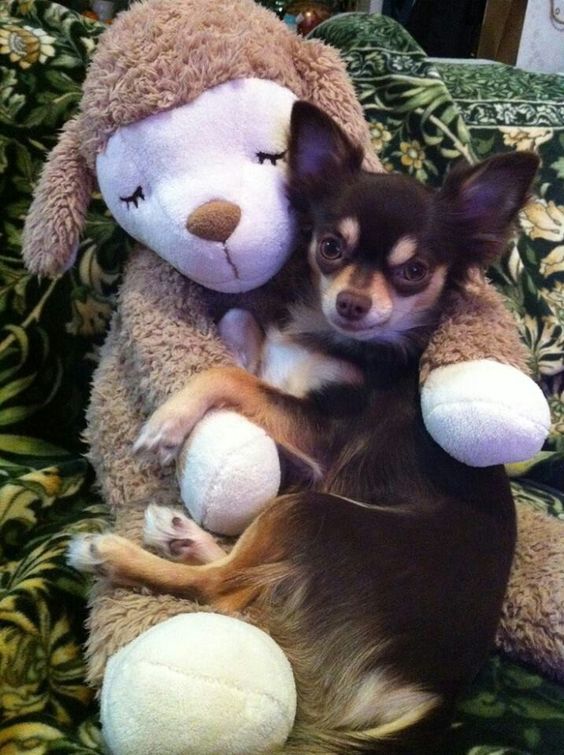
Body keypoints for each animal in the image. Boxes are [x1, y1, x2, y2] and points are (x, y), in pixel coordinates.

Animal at [68, 103, 540, 752]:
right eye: (331, 247)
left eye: (415, 271)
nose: (352, 305)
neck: (337, 339)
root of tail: (436, 697)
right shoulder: (294, 423)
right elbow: (245, 341)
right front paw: (243, 334)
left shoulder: (323, 437)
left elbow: (225, 374)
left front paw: (168, 420)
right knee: (246, 572)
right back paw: (183, 537)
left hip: (313, 510)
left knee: (226, 587)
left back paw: (113, 553)